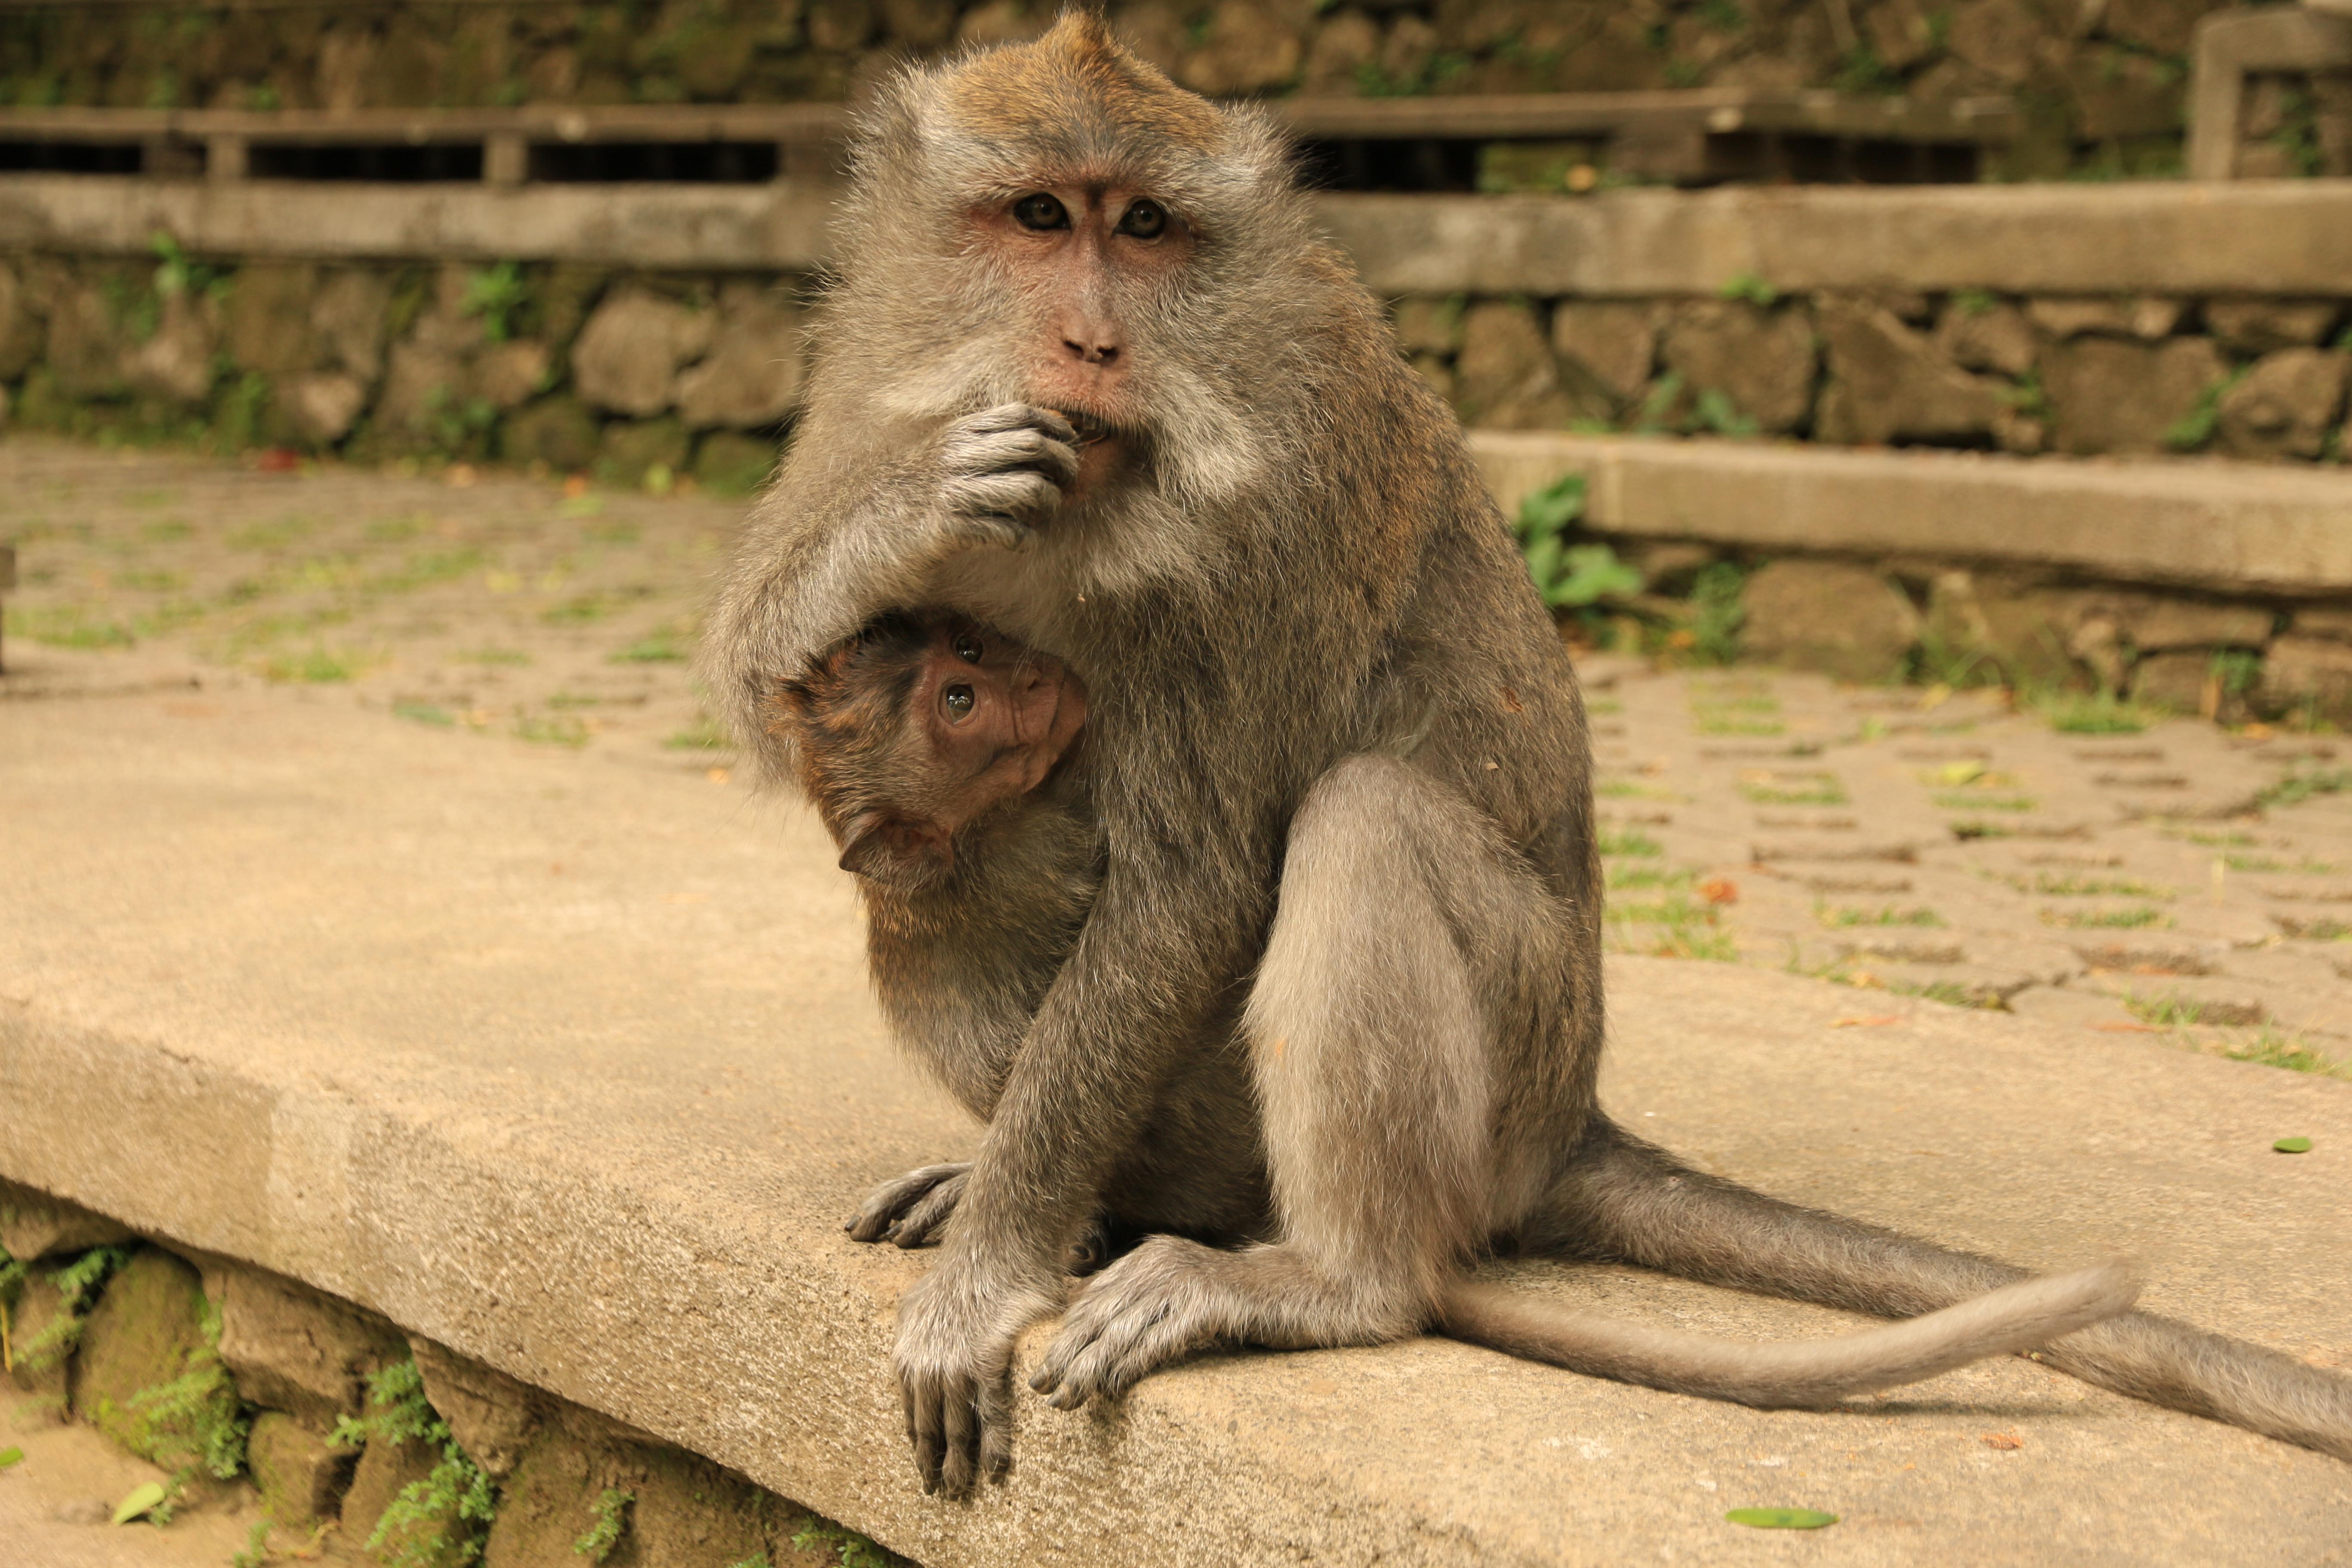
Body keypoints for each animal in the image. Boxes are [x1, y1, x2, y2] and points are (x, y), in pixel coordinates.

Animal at [703, 13, 2352, 1498]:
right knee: (934, 916)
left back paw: (1321, 1277)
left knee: (1358, 822)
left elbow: (1190, 884)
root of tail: (1572, 1124)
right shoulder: (861, 382)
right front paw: (914, 503)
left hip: (1509, 1054)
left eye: (1150, 227)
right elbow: (760, 657)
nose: (1095, 342)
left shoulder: (1262, 529)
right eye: (1042, 216)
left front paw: (990, 1274)